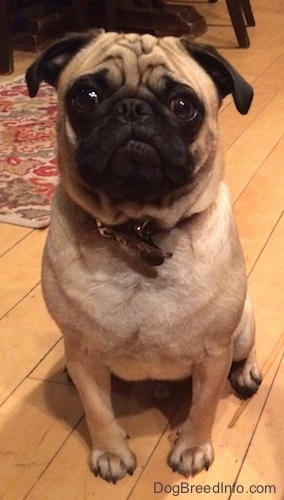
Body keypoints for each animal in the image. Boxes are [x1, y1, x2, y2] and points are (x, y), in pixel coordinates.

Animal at [26, 31, 262, 484]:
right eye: (86, 96)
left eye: (183, 105)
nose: (132, 108)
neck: (139, 232)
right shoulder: (84, 354)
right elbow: (97, 410)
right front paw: (111, 452)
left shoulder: (213, 355)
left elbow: (203, 407)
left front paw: (192, 449)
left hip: (241, 330)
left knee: (246, 349)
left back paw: (245, 373)